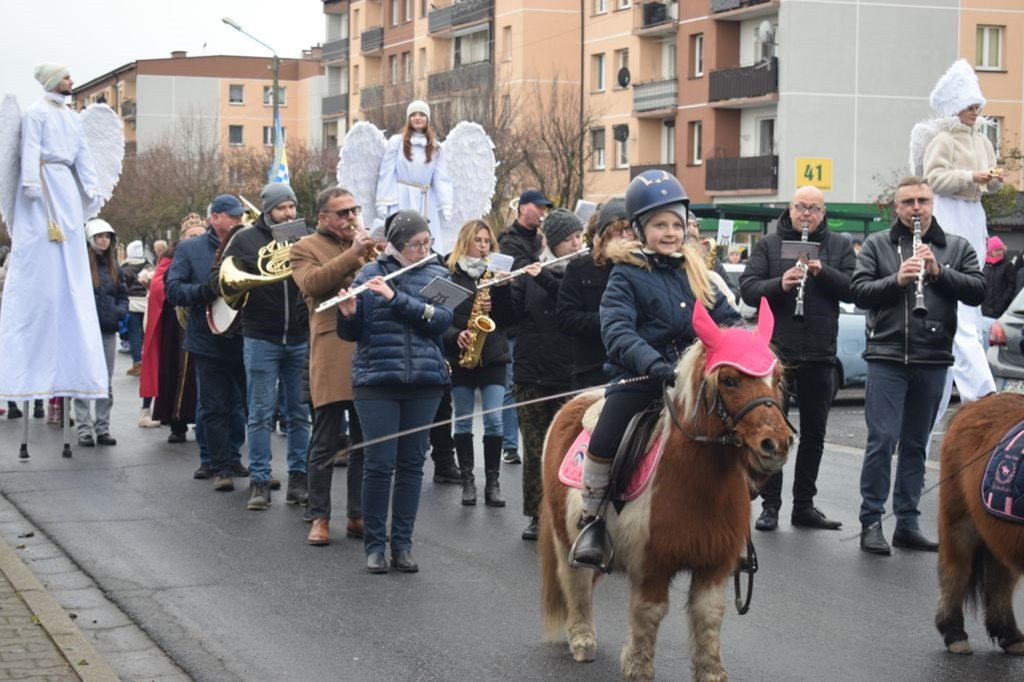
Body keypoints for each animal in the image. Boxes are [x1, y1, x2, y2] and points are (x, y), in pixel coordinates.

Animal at [540, 309, 794, 679]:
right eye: (729, 380)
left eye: (776, 377)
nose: (776, 444)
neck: (698, 483)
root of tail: (572, 402)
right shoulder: (652, 565)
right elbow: (649, 614)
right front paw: (637, 667)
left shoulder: (714, 565)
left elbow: (709, 616)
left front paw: (711, 672)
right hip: (564, 536)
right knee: (575, 584)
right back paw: (582, 640)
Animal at [937, 391, 1024, 655]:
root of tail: (976, 403)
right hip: (960, 524)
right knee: (955, 571)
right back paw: (954, 633)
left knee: (1000, 580)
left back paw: (1010, 635)